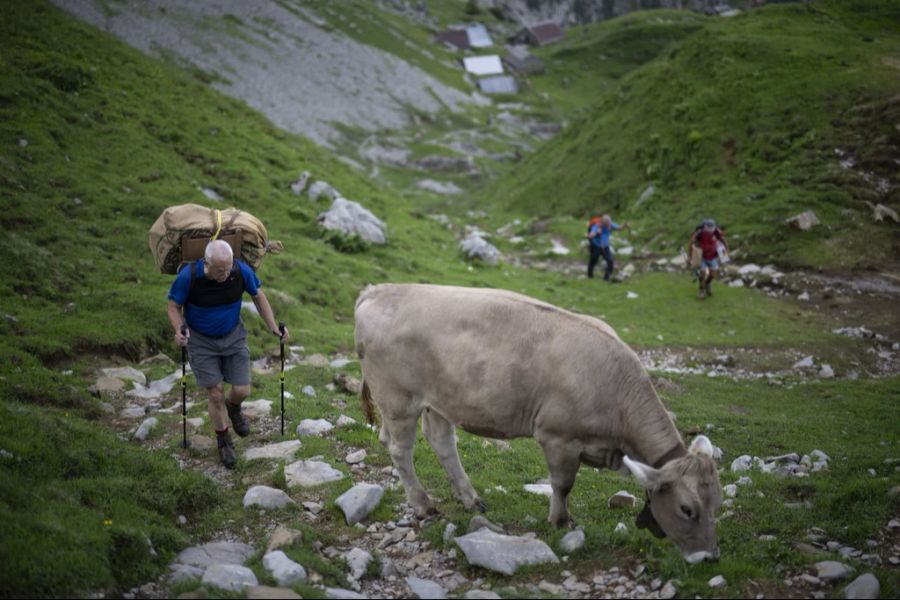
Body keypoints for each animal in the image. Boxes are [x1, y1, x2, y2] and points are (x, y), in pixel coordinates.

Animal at [354, 284, 724, 560]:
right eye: (686, 509)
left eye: (716, 502)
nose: (709, 557)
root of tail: (379, 290)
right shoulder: (559, 438)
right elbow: (563, 484)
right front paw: (561, 520)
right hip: (399, 399)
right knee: (400, 449)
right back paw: (423, 505)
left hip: (439, 399)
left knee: (441, 440)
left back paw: (471, 498)